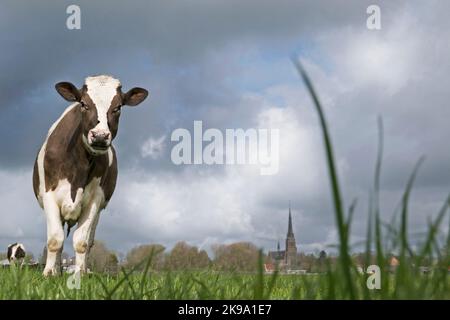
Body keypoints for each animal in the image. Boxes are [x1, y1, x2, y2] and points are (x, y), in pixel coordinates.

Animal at [34, 74, 149, 276]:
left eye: (118, 107)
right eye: (83, 104)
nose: (100, 136)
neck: (78, 167)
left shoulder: (95, 199)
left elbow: (82, 242)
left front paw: (79, 274)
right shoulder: (49, 195)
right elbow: (55, 240)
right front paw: (48, 273)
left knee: (90, 241)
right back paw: (56, 271)